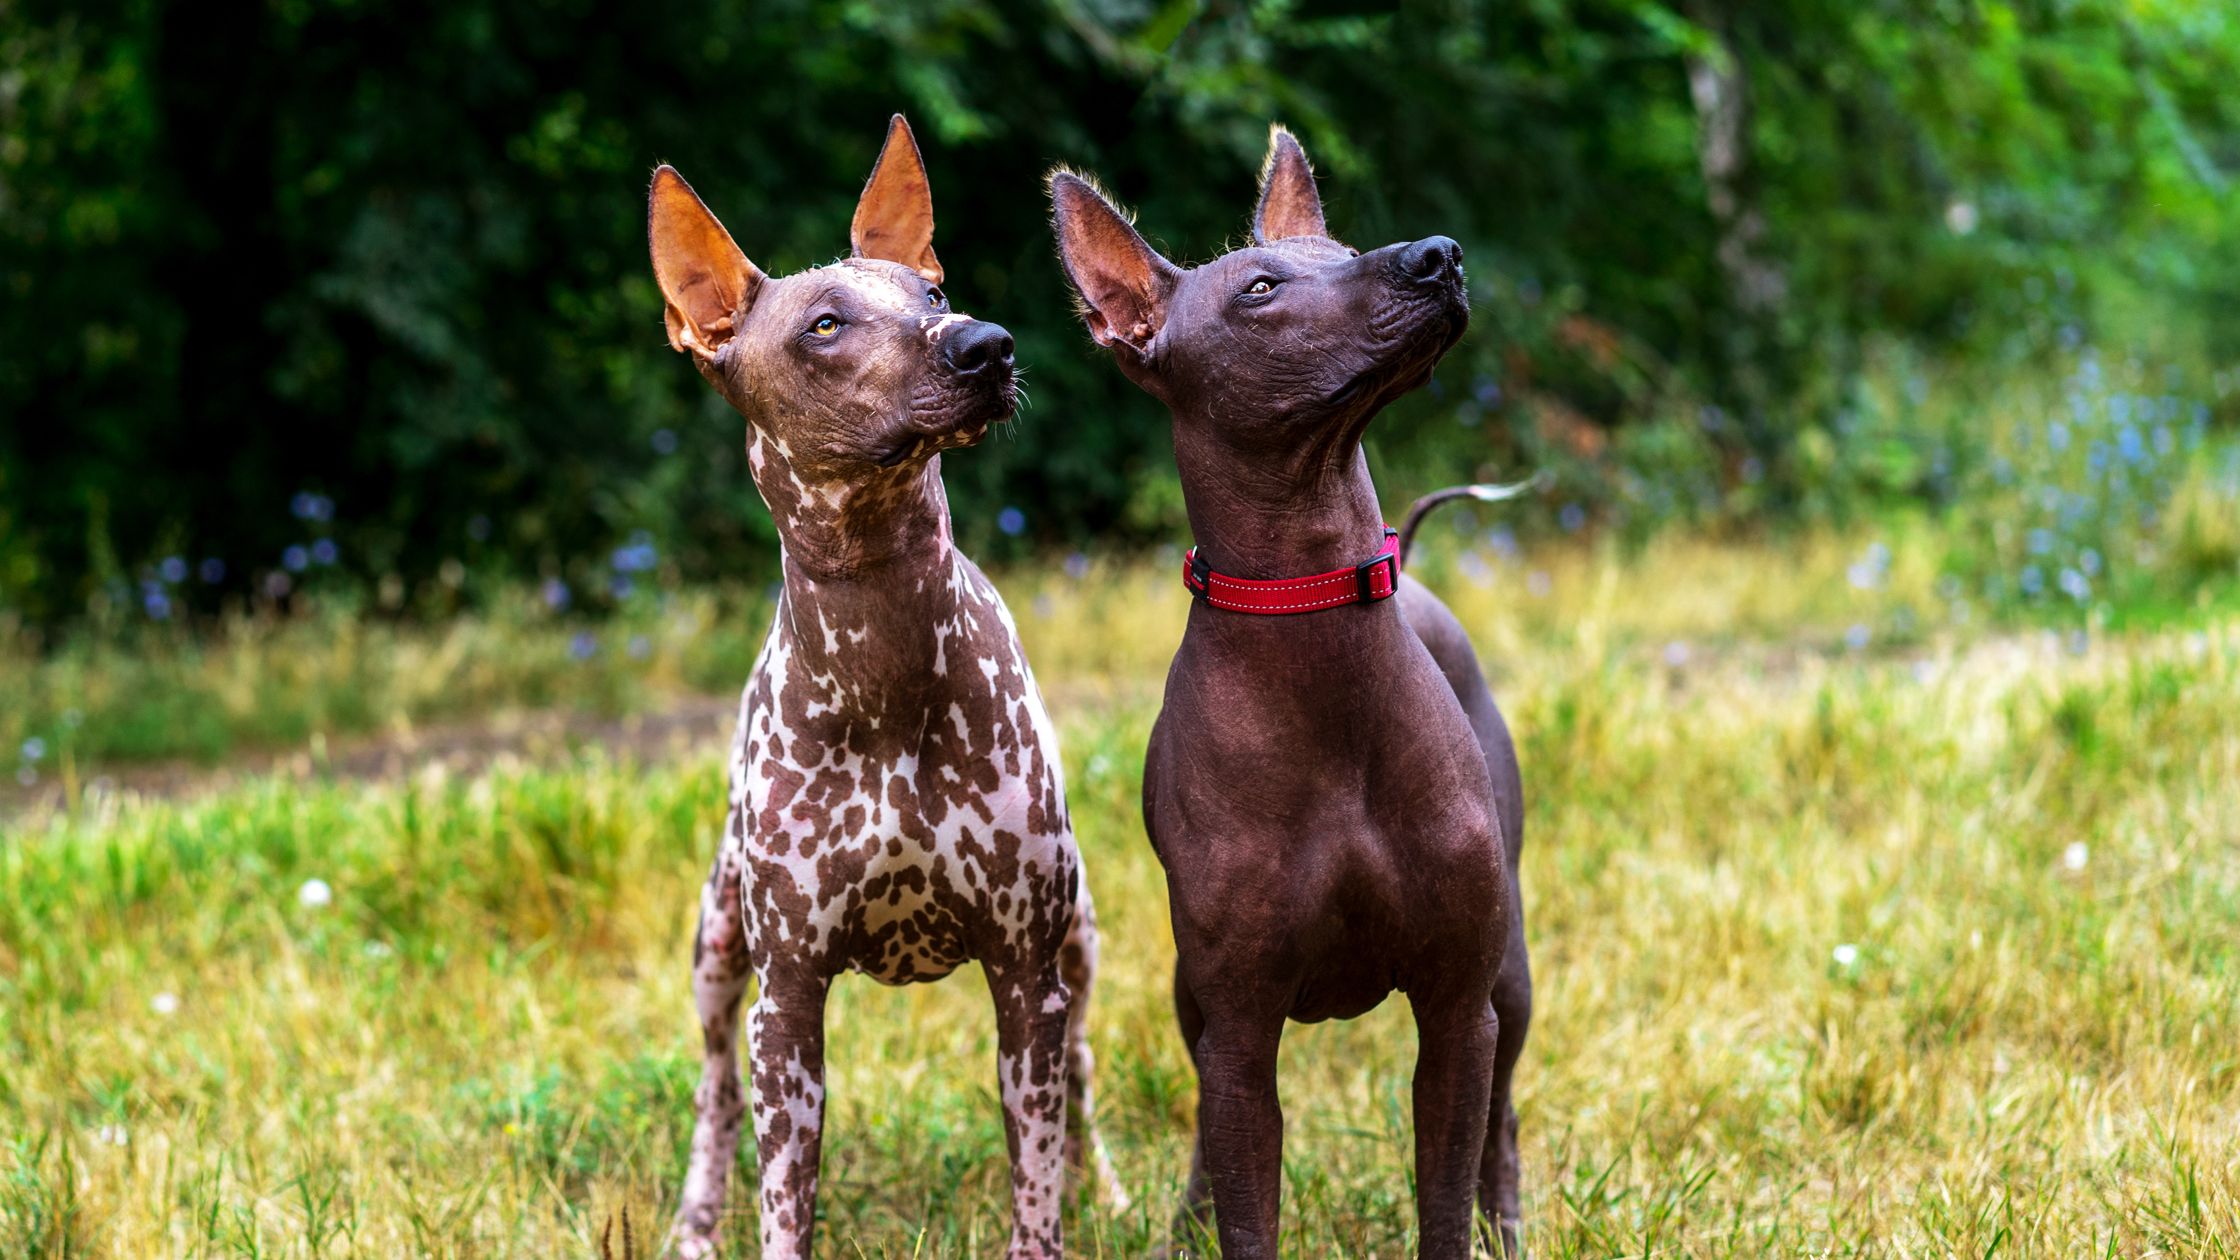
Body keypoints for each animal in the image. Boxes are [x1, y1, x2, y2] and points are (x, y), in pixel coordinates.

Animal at [654, 112, 1128, 1246]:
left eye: (933, 292)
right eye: (825, 325)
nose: (984, 344)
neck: (885, 655)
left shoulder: (1027, 976)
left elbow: (1034, 1189)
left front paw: (1062, 1210)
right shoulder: (785, 1007)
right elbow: (784, 1197)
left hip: (1081, 943)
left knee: (1087, 1068)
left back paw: (1108, 1190)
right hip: (717, 951)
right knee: (713, 1091)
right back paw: (695, 1220)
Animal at [1043, 124, 1532, 1246]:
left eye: (1342, 250)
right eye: (1260, 289)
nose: (1435, 255)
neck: (1313, 613)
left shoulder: (1456, 1010)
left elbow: (1442, 1199)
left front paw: (1472, 1227)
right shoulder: (1237, 1030)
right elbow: (1243, 1204)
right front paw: (1207, 1224)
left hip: (1513, 978)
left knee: (1506, 1113)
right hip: (1192, 1001)